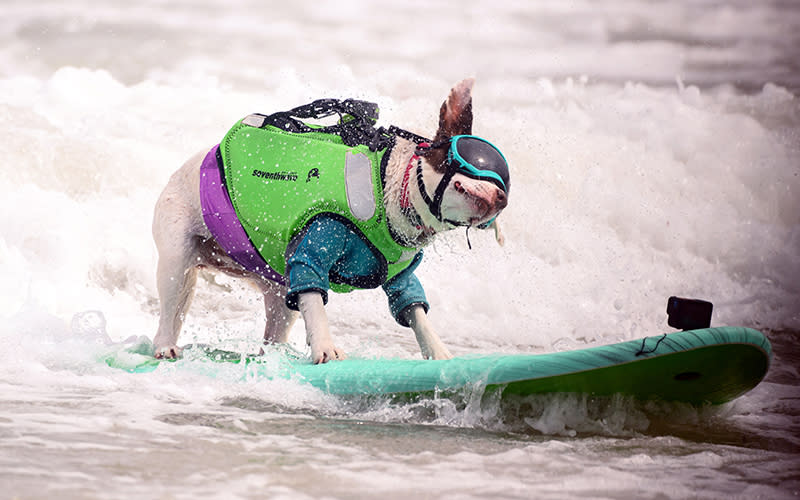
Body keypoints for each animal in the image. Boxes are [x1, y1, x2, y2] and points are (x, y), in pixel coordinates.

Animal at [153, 80, 510, 366]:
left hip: (277, 291)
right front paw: (325, 348)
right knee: (172, 304)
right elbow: (314, 296)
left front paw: (438, 353)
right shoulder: (315, 244)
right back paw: (165, 347)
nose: (501, 196)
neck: (390, 186)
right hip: (177, 256)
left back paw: (273, 357)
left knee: (277, 323)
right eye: (466, 164)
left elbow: (414, 309)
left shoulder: (401, 276)